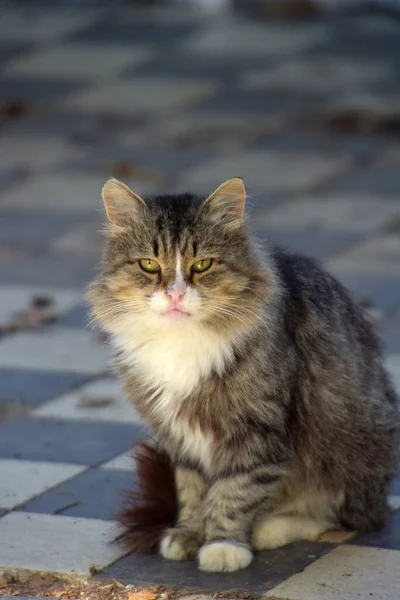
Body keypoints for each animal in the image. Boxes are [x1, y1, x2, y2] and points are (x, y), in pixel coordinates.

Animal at [88, 177, 400, 572]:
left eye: (202, 264)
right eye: (148, 264)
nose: (175, 295)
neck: (180, 341)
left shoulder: (256, 429)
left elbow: (235, 491)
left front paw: (223, 545)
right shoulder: (179, 435)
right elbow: (191, 490)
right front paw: (190, 534)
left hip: (349, 450)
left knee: (344, 515)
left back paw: (271, 527)